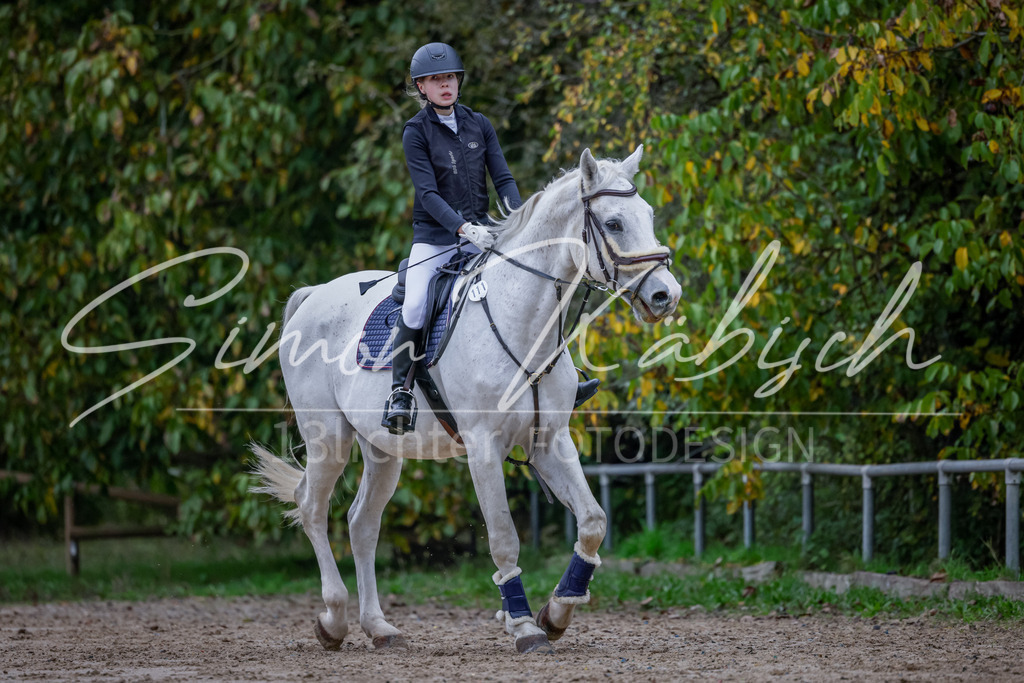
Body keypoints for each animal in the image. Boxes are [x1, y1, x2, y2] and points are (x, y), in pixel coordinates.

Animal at [250, 144, 682, 654]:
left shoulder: (550, 441)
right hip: (328, 439)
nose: (666, 295)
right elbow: (503, 537)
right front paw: (524, 625)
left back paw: (378, 627)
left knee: (362, 523)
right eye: (613, 223)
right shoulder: (482, 446)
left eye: (649, 215)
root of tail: (315, 295)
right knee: (313, 508)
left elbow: (593, 522)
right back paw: (334, 621)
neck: (522, 319)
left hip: (383, 448)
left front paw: (557, 611)